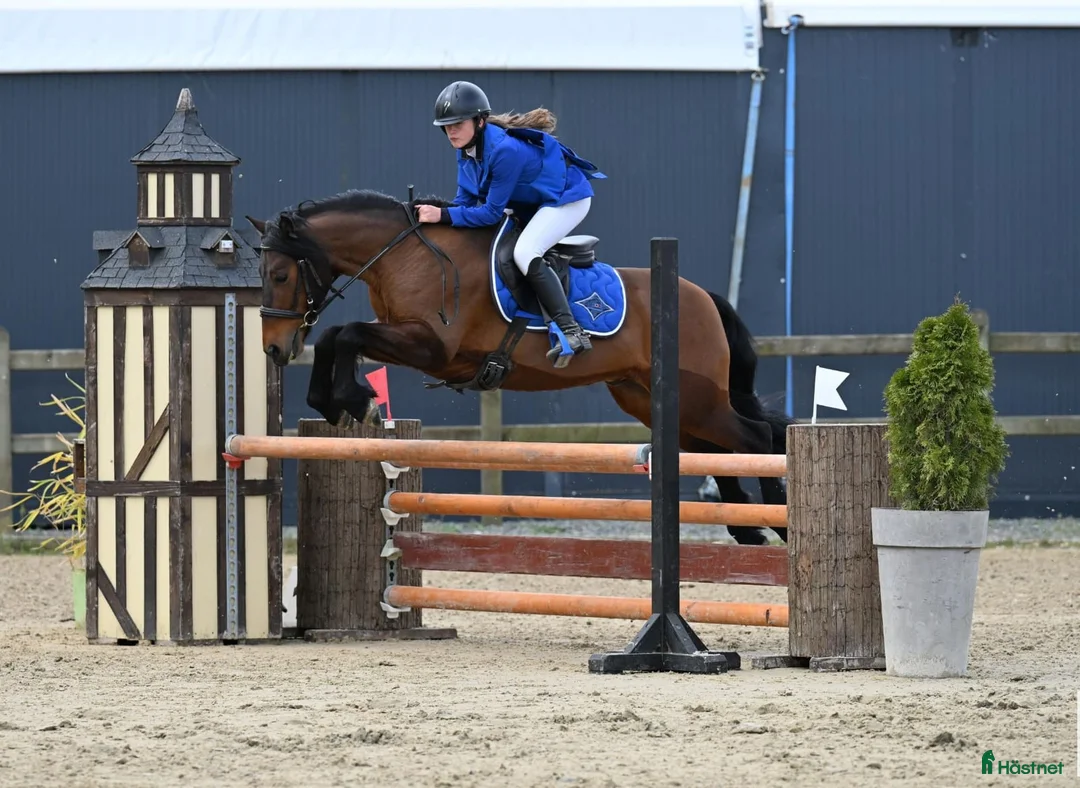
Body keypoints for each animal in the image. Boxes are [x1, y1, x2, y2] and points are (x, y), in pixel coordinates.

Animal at [246, 188, 794, 545]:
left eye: (280, 275)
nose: (273, 349)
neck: (402, 255)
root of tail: (701, 295)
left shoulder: (433, 347)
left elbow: (348, 334)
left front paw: (354, 399)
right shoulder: (409, 338)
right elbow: (337, 337)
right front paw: (333, 402)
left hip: (697, 399)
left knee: (754, 439)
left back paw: (778, 520)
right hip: (652, 400)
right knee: (716, 450)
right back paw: (746, 528)